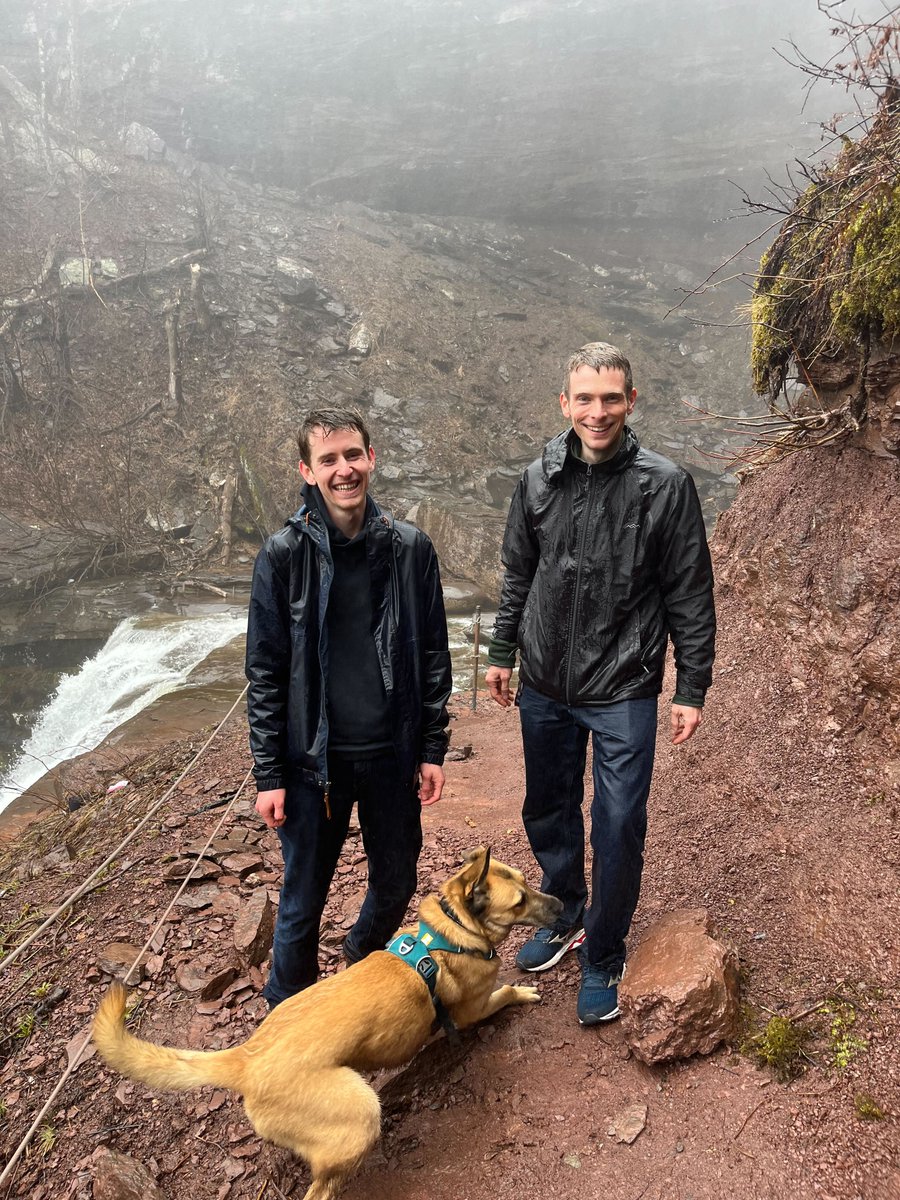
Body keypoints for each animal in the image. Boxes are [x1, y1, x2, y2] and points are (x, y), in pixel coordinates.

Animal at [97, 849, 564, 1195]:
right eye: (520, 901)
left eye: (528, 882)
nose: (562, 904)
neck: (452, 932)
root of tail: (245, 1059)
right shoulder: (473, 1009)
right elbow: (503, 993)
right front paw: (521, 993)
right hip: (360, 1116)